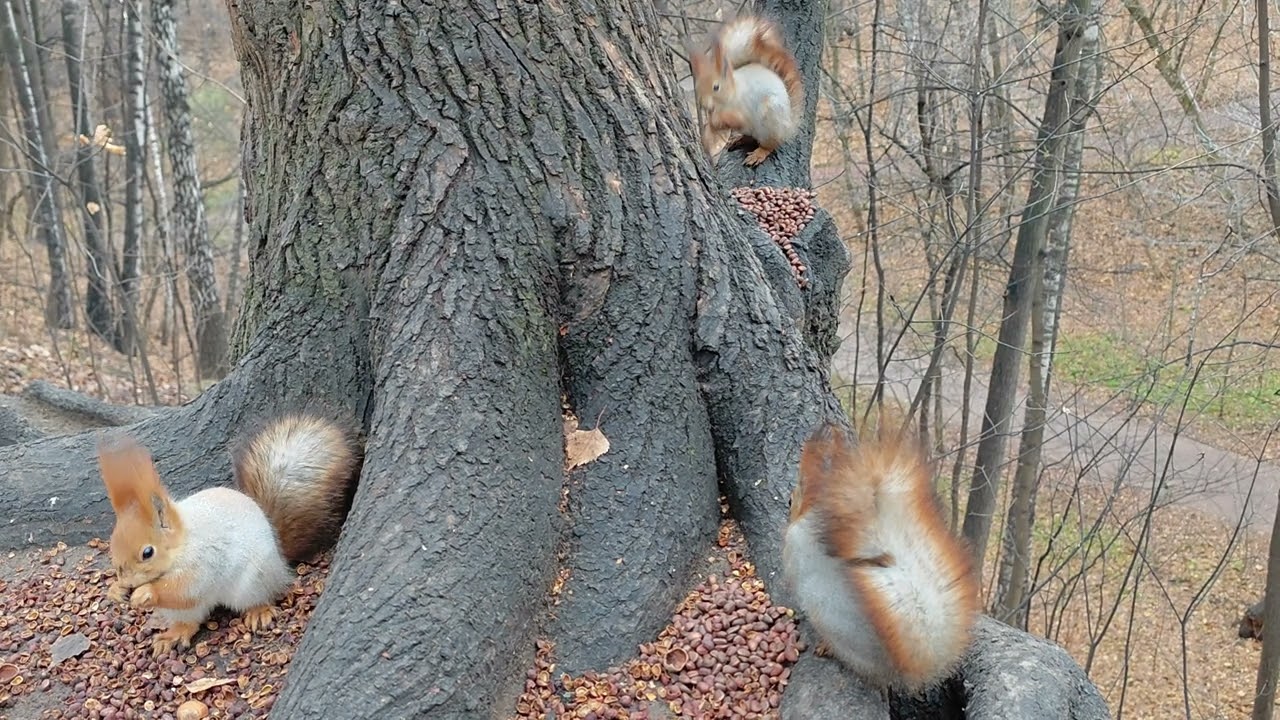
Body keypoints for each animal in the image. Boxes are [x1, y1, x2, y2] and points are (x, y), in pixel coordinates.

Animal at [97, 410, 363, 656]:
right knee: (190, 621)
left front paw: (146, 592)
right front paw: (116, 590)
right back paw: (173, 635)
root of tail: (279, 558)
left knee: (258, 597)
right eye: (113, 545)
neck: (182, 544)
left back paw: (258, 611)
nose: (127, 582)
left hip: (253, 581)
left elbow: (185, 589)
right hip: (187, 610)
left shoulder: (204, 561)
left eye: (147, 552)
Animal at [687, 15, 805, 167]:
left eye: (716, 87)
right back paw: (738, 139)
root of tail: (788, 127)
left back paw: (759, 153)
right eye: (697, 87)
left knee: (771, 144)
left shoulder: (743, 109)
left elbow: (734, 119)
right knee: (751, 137)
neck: (731, 94)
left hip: (771, 118)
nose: (702, 104)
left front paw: (716, 120)